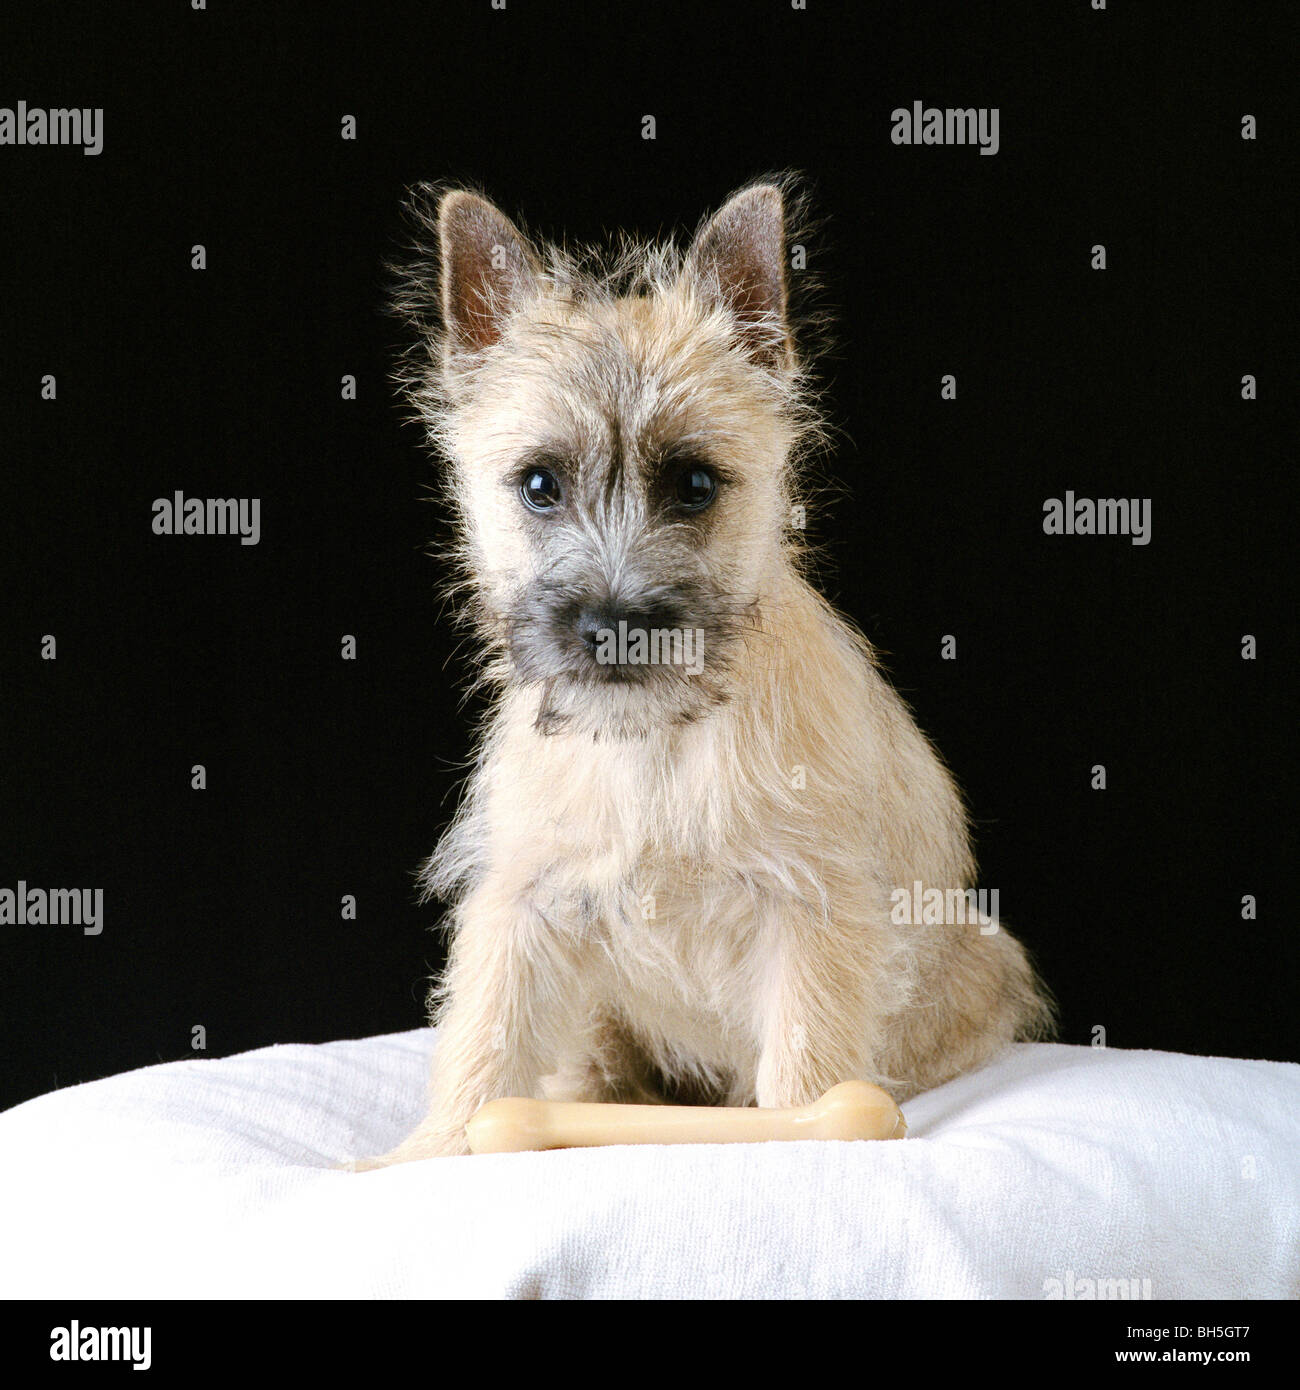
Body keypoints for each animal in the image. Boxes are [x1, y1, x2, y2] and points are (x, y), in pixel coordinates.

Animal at [361, 179, 1051, 1167]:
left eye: (694, 485)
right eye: (538, 486)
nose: (614, 625)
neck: (656, 742)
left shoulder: (813, 908)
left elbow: (805, 1063)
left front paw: (814, 1126)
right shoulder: (523, 902)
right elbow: (485, 1032)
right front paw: (432, 1149)